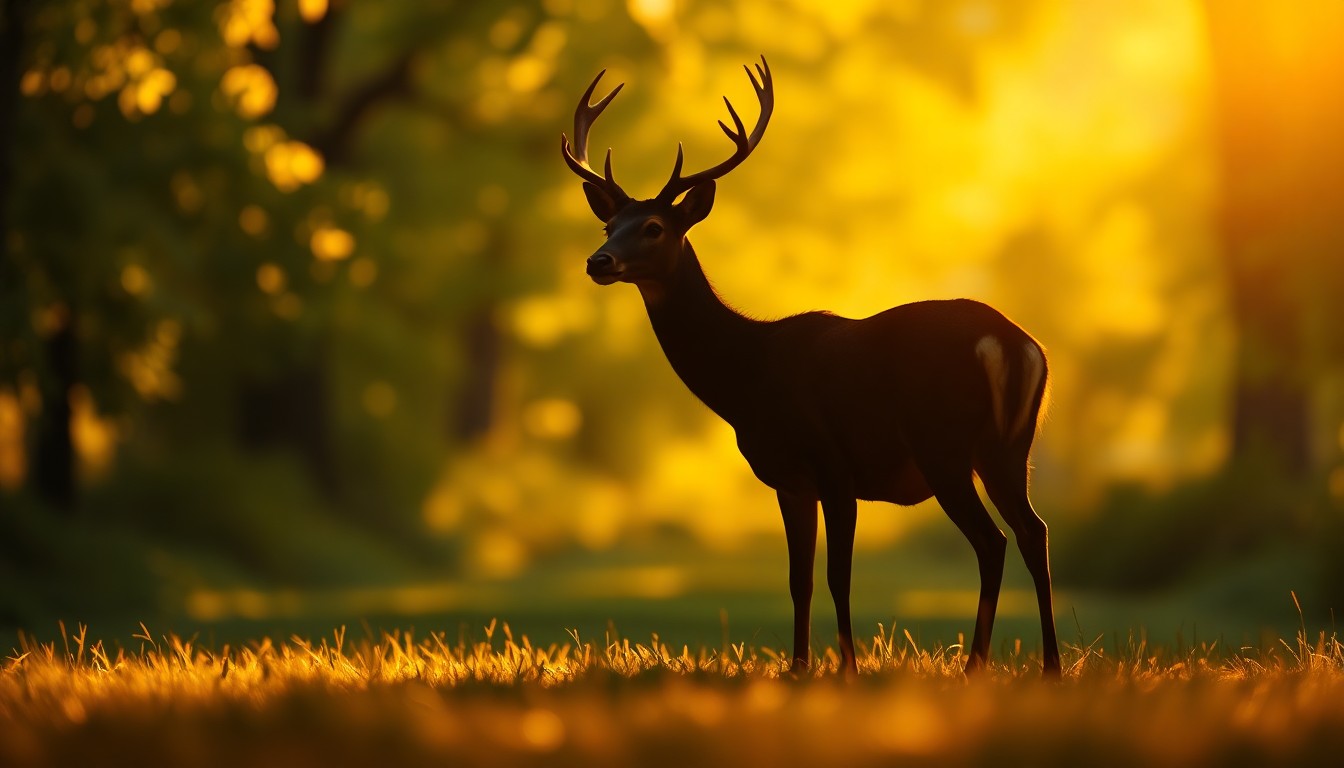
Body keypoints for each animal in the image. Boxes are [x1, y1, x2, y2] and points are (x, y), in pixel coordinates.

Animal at [561, 56, 1061, 677]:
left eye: (654, 227)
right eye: (610, 226)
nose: (598, 261)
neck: (748, 377)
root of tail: (1013, 343)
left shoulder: (833, 462)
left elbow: (837, 577)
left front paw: (847, 667)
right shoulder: (789, 479)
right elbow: (798, 580)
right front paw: (798, 667)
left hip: (943, 444)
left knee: (993, 541)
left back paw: (976, 666)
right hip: (1009, 446)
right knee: (1034, 531)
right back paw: (1049, 665)